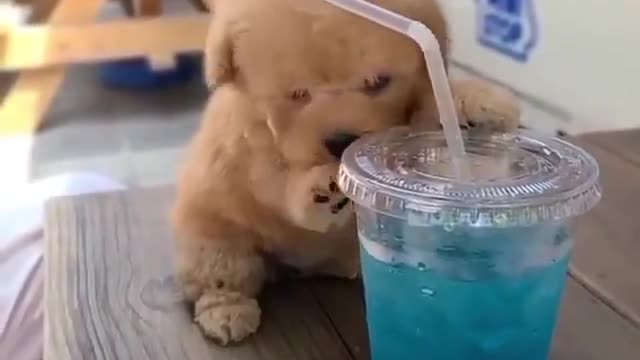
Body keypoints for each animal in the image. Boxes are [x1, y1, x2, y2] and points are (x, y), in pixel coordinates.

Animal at [171, 0, 520, 344]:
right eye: (298, 93)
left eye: (378, 82)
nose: (341, 141)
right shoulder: (248, 149)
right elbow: (273, 180)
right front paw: (320, 191)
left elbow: (426, 115)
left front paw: (477, 104)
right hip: (212, 241)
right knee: (222, 276)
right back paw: (227, 312)